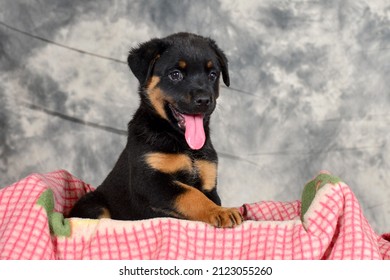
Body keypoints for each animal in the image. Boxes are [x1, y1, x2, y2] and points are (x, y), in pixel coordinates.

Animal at [68, 32, 242, 228]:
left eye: (213, 75)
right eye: (175, 74)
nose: (204, 100)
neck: (181, 141)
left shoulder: (209, 182)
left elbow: (203, 196)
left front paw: (220, 209)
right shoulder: (150, 181)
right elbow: (190, 194)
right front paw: (220, 212)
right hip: (94, 204)